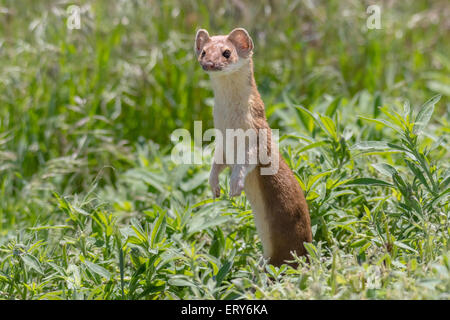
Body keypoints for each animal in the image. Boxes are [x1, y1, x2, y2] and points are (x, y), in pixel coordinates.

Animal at [193, 28, 312, 268]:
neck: (230, 123)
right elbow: (217, 163)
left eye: (227, 52)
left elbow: (246, 161)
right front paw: (214, 186)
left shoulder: (257, 135)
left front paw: (235, 185)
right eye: (203, 52)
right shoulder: (222, 142)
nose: (208, 63)